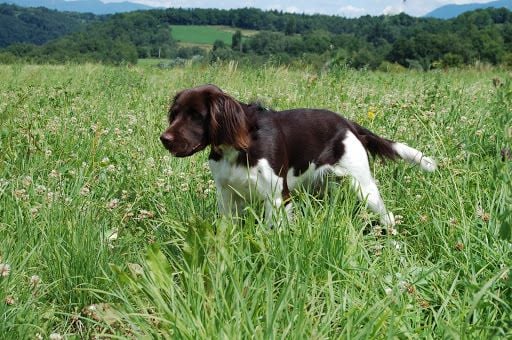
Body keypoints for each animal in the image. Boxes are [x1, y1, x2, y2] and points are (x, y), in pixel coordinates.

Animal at [160, 83, 436, 226]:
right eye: (175, 113)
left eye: (196, 115)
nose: (164, 139)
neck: (237, 147)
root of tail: (348, 123)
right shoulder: (227, 195)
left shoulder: (277, 196)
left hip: (363, 185)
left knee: (387, 216)